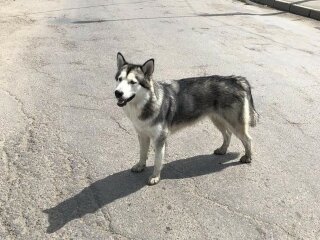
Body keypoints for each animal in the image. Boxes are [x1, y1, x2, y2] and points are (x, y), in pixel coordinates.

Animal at [114, 53, 258, 186]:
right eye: (119, 79)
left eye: (133, 82)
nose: (117, 93)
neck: (147, 102)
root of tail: (236, 80)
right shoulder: (142, 134)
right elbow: (142, 153)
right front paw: (140, 166)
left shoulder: (160, 139)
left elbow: (157, 161)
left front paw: (155, 176)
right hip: (218, 120)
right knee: (227, 134)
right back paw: (222, 150)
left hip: (235, 124)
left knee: (248, 139)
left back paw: (248, 157)